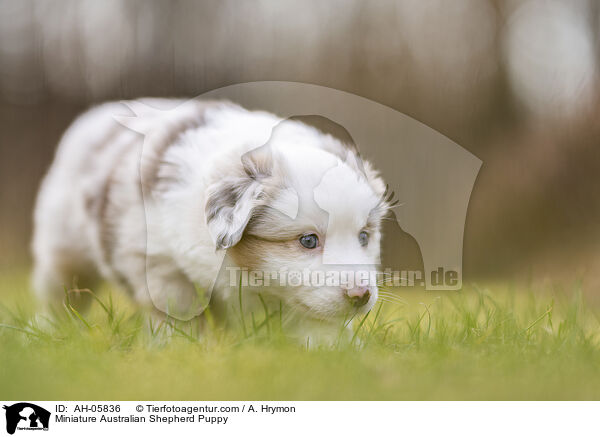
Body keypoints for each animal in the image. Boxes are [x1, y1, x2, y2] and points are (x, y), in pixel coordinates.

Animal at [32, 99, 392, 344]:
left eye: (364, 237)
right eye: (308, 240)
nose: (361, 296)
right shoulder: (157, 260)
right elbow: (177, 311)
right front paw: (184, 348)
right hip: (63, 249)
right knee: (59, 293)